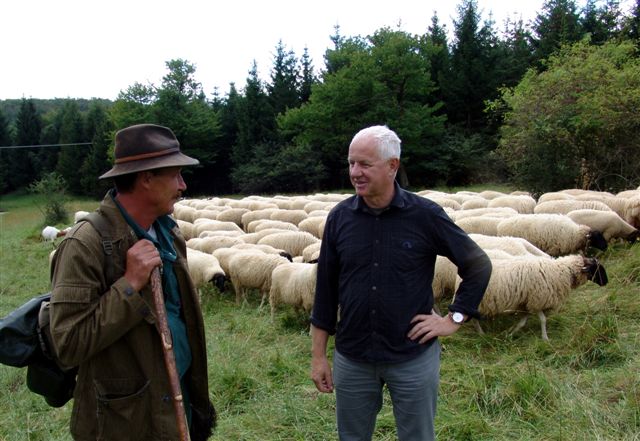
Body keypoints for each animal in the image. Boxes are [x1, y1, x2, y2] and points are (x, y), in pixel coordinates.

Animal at [470, 251, 608, 340]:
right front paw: (545, 338)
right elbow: (543, 320)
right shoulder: (538, 299)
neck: (561, 271)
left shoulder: (526, 302)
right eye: (596, 268)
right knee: (473, 319)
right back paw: (481, 333)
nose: (606, 282)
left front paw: (511, 332)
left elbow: (522, 322)